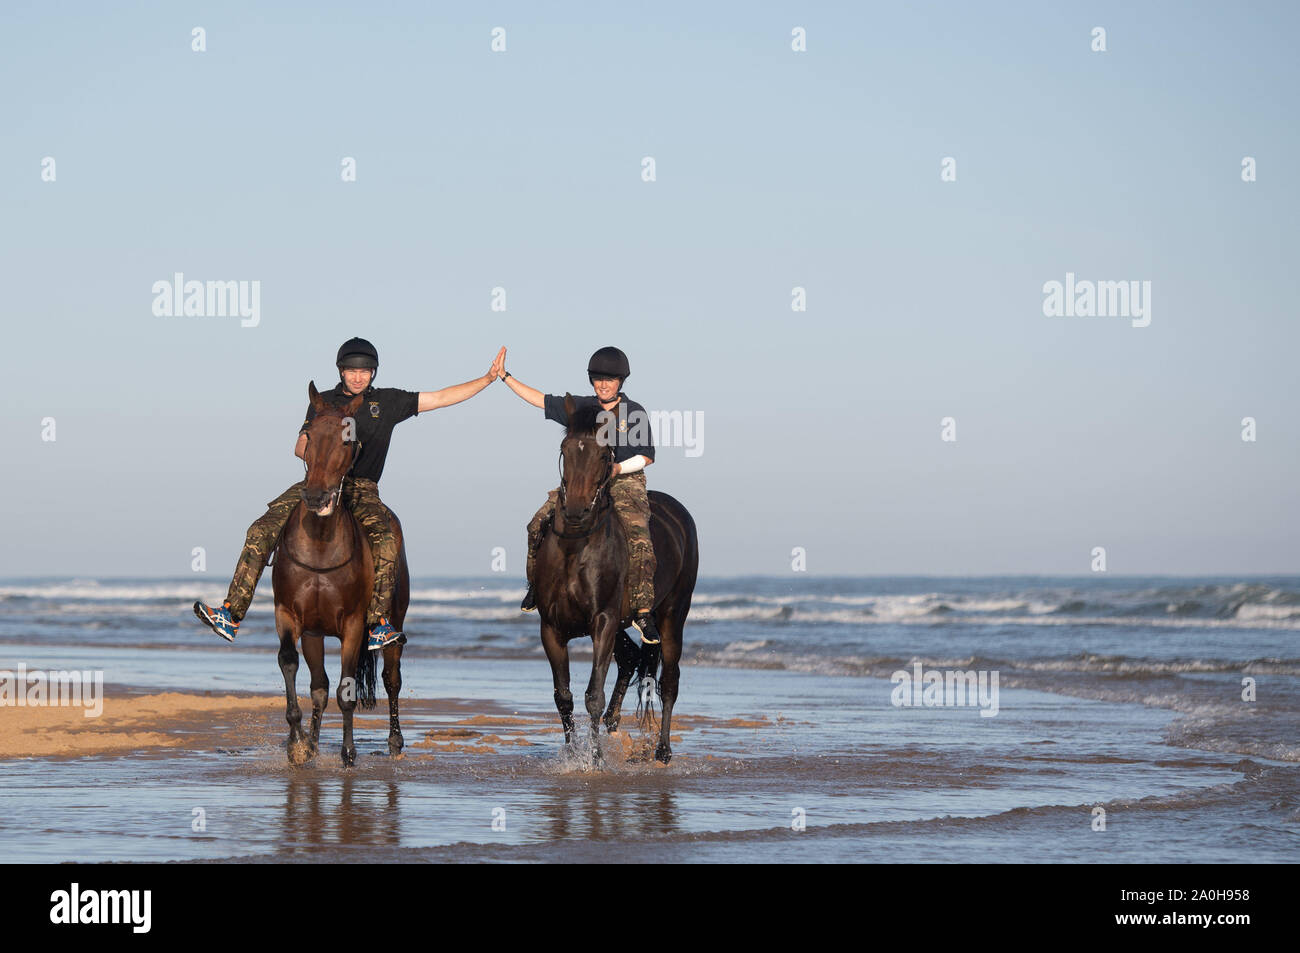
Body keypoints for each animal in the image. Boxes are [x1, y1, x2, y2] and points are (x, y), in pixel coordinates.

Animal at [270, 382, 409, 767]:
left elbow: (347, 690)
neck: (320, 544)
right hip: (315, 634)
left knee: (391, 678)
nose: (316, 497)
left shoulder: (353, 625)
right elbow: (291, 665)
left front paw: (348, 754)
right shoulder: (290, 616)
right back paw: (315, 744)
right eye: (308, 434)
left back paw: (394, 743)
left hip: (393, 622)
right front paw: (298, 744)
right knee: (319, 686)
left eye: (349, 442)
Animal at [534, 394, 699, 763]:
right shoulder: (551, 627)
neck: (575, 545)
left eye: (603, 454)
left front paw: (594, 759)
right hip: (625, 622)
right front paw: (572, 756)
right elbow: (563, 696)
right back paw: (613, 723)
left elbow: (592, 694)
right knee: (631, 659)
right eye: (566, 448)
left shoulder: (604, 621)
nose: (576, 510)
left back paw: (662, 751)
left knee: (669, 681)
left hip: (672, 616)